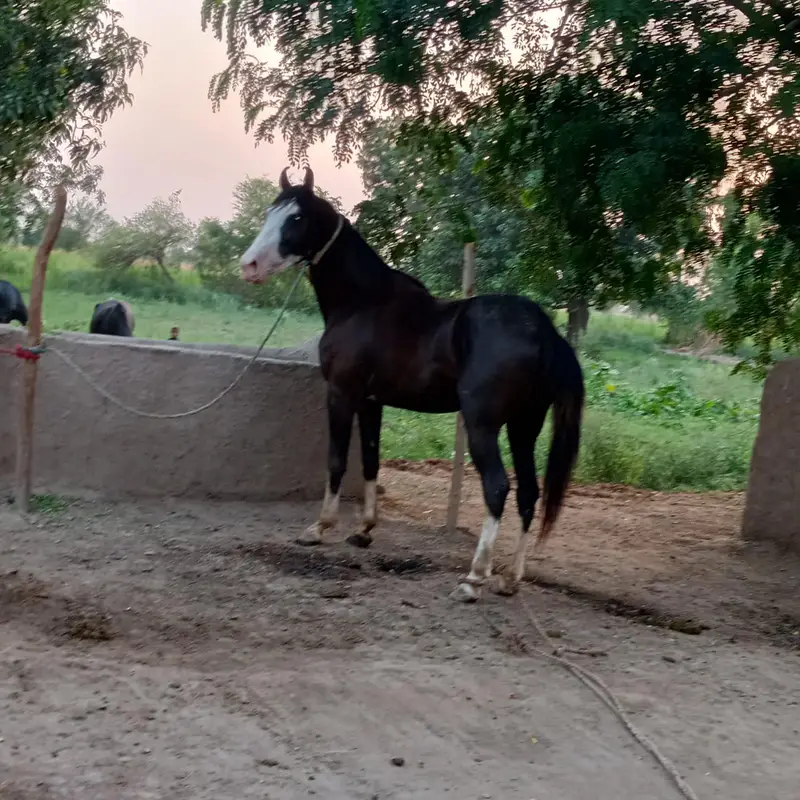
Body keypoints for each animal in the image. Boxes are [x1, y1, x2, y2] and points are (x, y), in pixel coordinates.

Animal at [240, 167, 585, 602]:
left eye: (296, 218)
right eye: (271, 212)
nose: (249, 266)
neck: (364, 303)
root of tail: (543, 329)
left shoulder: (341, 393)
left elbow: (337, 460)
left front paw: (319, 528)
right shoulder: (371, 401)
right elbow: (370, 461)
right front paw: (364, 530)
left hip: (483, 426)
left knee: (497, 488)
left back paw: (474, 578)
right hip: (524, 428)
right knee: (528, 493)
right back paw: (509, 579)